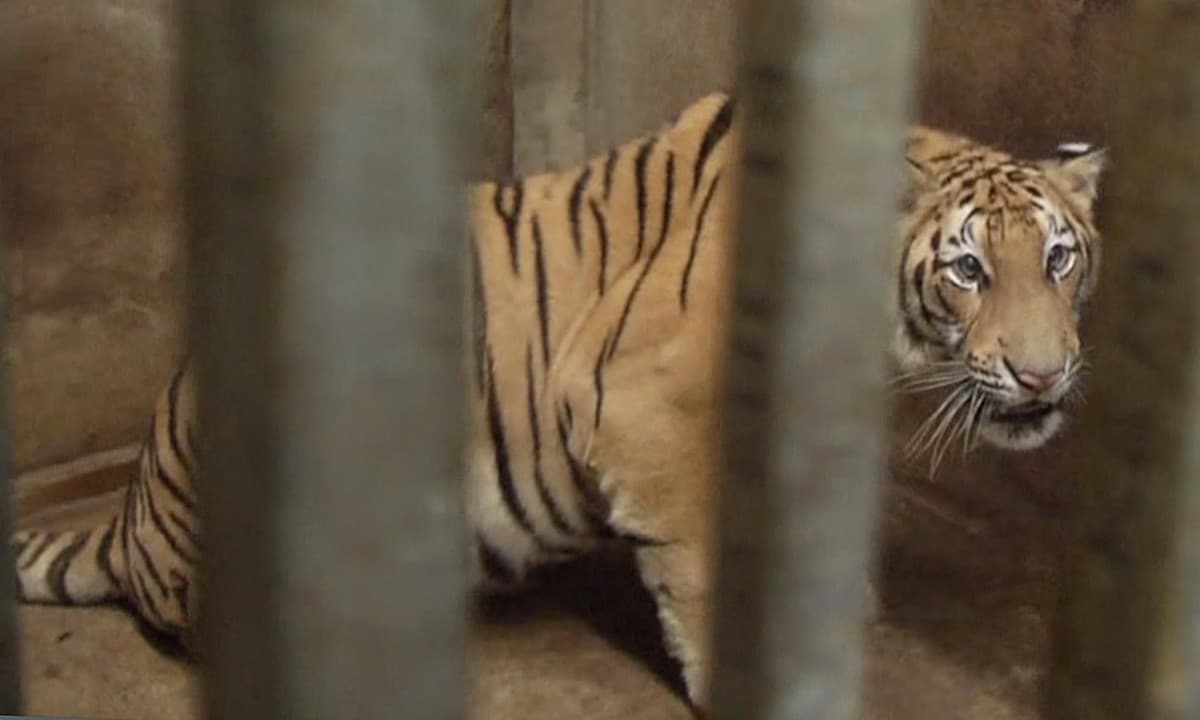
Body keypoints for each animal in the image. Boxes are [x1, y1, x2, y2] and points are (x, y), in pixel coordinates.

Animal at [10, 91, 1106, 712]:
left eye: (1059, 259)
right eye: (967, 269)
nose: (1044, 376)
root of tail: (133, 517)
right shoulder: (648, 410)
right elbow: (702, 573)